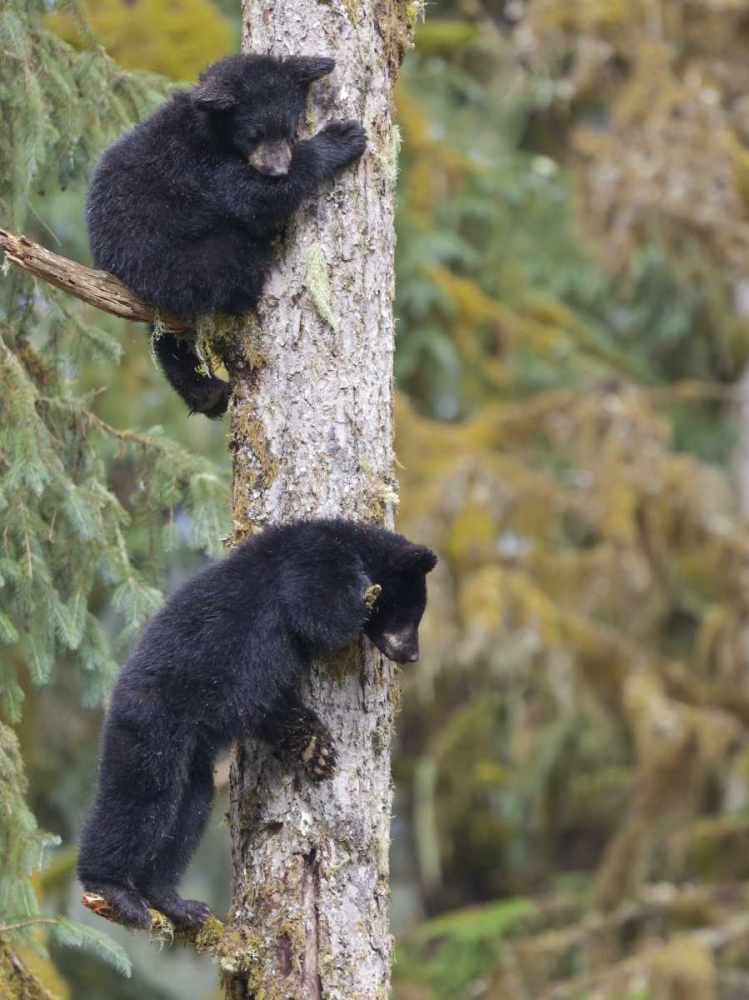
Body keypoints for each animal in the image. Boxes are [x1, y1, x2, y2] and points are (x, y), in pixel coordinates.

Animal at [77, 518, 437, 929]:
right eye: (411, 612)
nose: (411, 655)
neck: (354, 543)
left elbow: (271, 705)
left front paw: (316, 748)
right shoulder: (313, 564)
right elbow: (323, 618)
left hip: (191, 756)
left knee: (190, 807)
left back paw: (173, 901)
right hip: (152, 722)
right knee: (141, 795)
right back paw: (113, 888)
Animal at [86, 54, 367, 419]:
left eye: (290, 130)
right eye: (254, 134)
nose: (277, 169)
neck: (210, 131)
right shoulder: (207, 169)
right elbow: (254, 198)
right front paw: (341, 139)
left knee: (165, 336)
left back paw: (206, 392)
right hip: (192, 263)